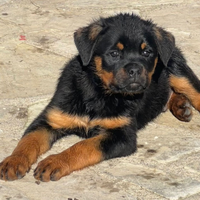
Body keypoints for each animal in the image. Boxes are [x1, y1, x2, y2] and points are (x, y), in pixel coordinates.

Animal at [0, 13, 198, 181]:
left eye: (147, 52)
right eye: (114, 53)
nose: (135, 70)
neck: (99, 93)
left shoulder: (122, 136)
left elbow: (83, 146)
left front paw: (54, 162)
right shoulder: (49, 120)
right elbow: (28, 141)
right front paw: (14, 161)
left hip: (178, 71)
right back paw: (181, 107)